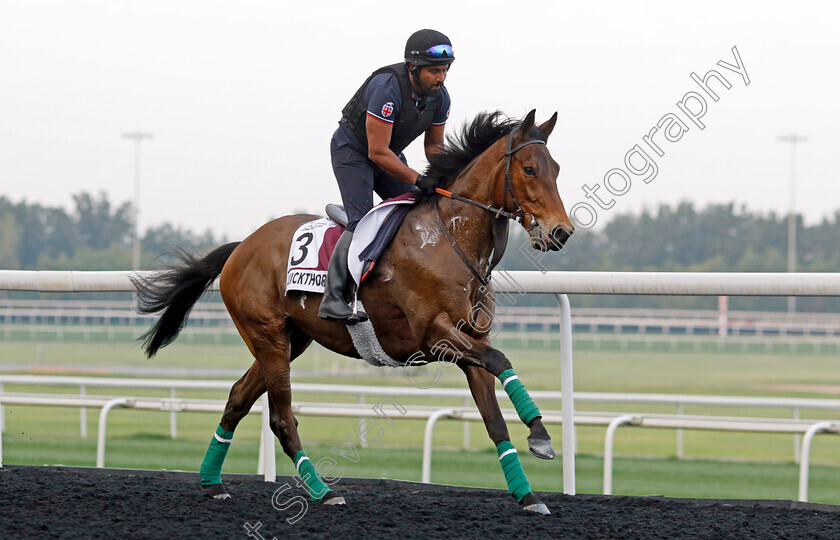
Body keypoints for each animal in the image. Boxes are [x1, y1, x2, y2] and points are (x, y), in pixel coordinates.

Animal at [135, 109, 576, 516]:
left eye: (556, 169)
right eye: (530, 169)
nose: (561, 232)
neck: (448, 238)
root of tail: (242, 246)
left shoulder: (470, 341)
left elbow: (494, 417)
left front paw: (528, 494)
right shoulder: (435, 336)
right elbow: (501, 359)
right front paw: (540, 434)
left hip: (289, 340)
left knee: (238, 398)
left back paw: (213, 483)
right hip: (267, 334)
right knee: (282, 418)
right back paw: (322, 491)